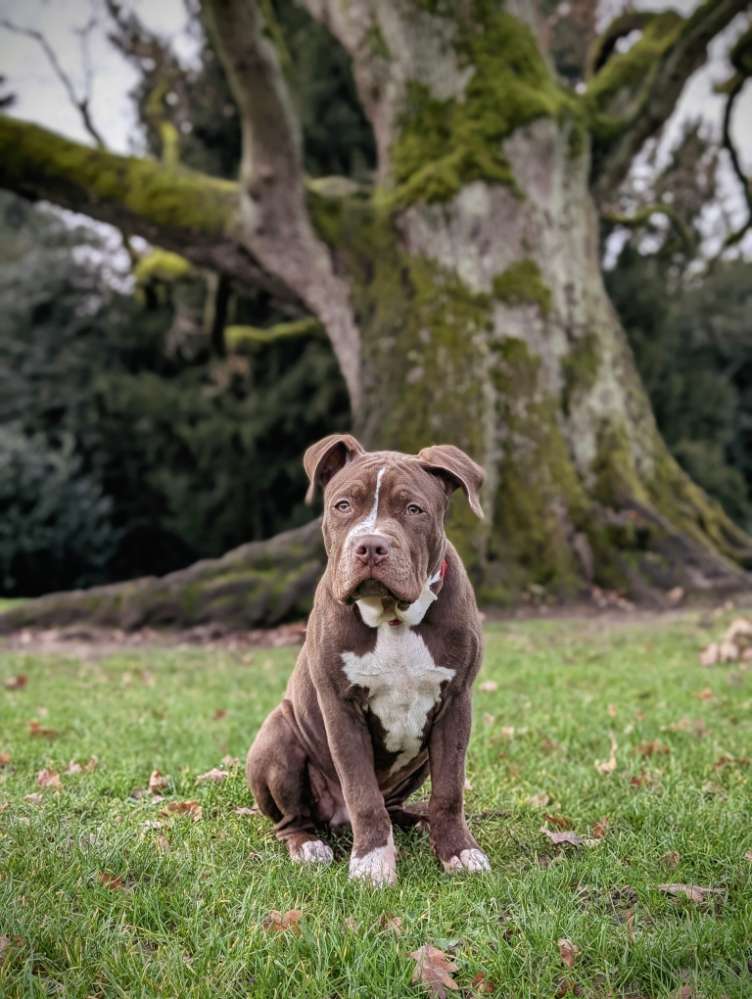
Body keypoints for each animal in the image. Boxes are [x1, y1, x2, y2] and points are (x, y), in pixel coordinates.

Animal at [245, 434, 488, 888]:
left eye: (414, 509)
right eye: (344, 505)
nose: (371, 545)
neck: (392, 617)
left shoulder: (456, 702)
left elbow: (450, 791)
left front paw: (458, 851)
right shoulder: (342, 709)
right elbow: (362, 794)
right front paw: (373, 863)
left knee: (397, 804)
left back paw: (417, 822)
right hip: (277, 738)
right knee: (291, 819)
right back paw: (309, 845)